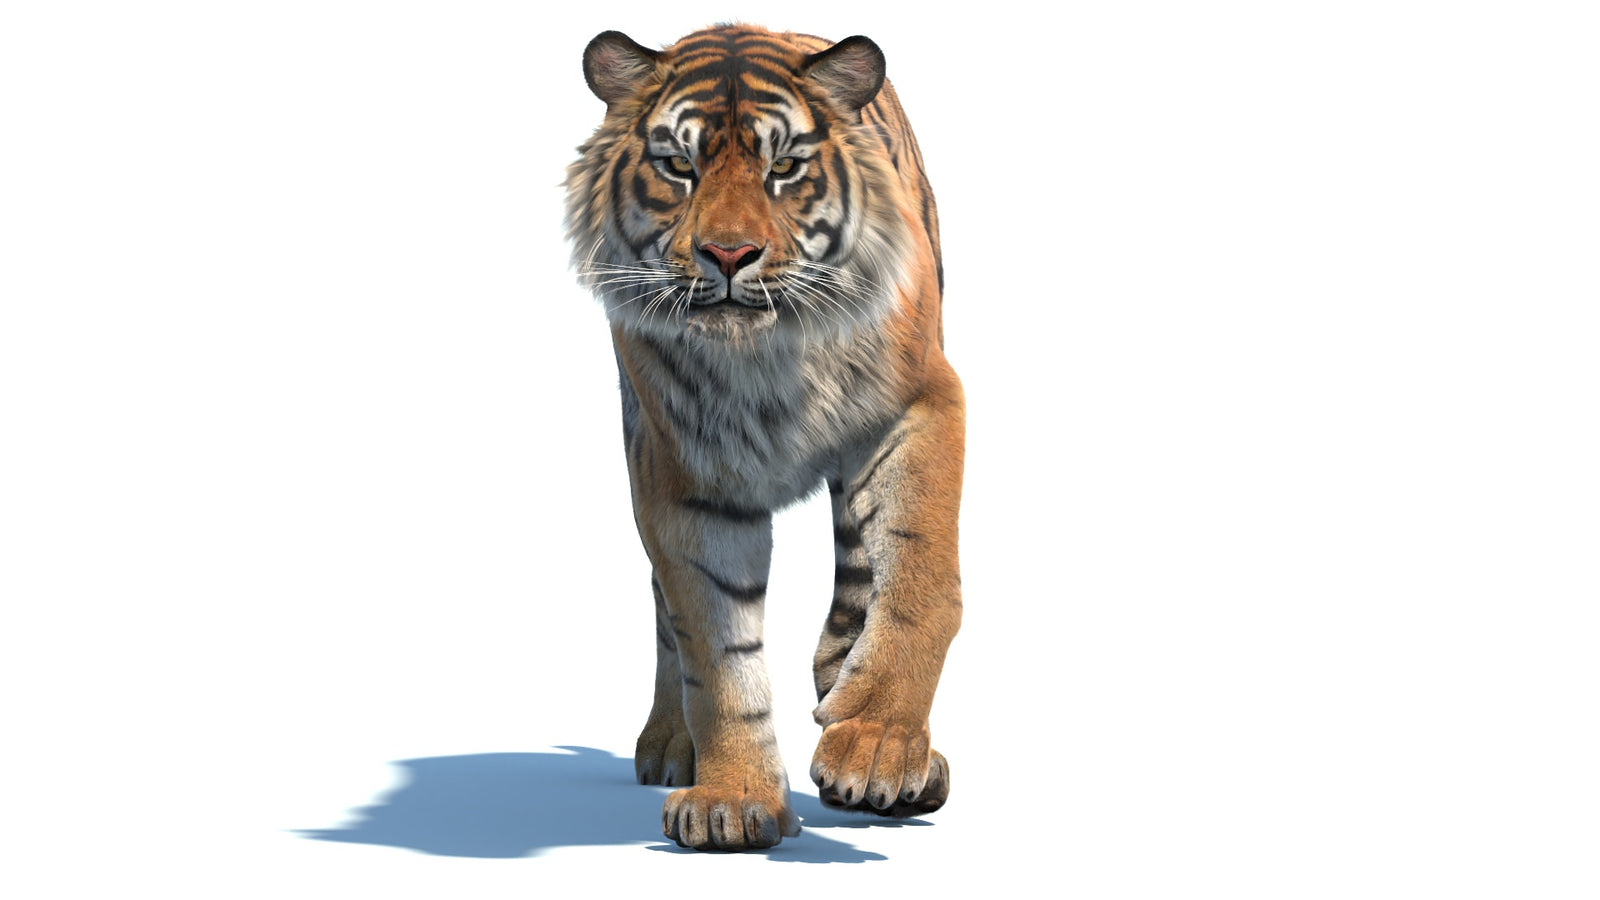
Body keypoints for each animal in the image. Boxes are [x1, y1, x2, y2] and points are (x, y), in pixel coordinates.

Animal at [564, 23, 963, 851]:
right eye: (678, 167)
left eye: (784, 169)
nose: (727, 255)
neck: (767, 358)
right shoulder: (682, 476)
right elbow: (715, 651)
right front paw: (733, 800)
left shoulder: (920, 403)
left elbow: (917, 579)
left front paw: (877, 745)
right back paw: (669, 744)